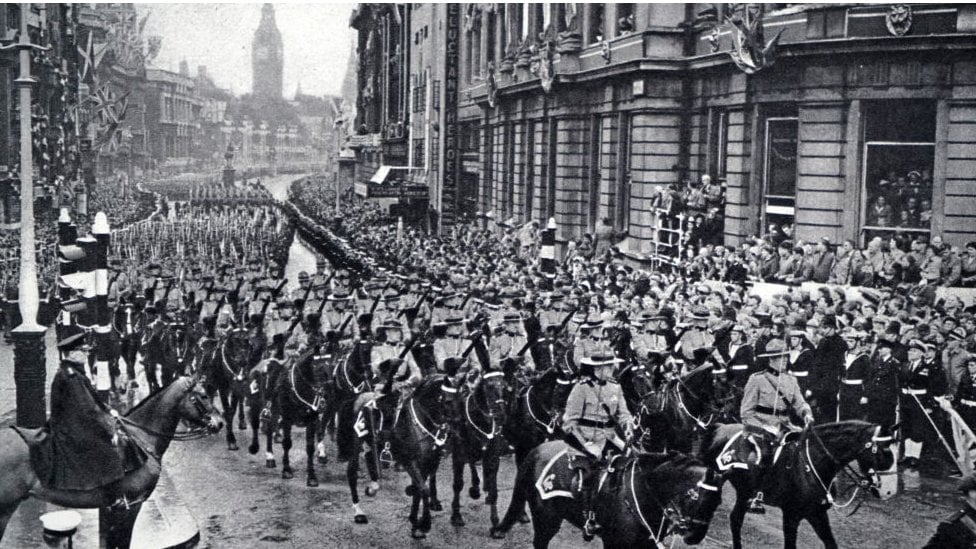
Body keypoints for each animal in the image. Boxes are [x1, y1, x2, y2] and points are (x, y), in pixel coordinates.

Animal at [492, 440, 720, 548]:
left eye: (717, 503)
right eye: (694, 496)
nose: (695, 537)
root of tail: (537, 450)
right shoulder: (614, 543)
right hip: (547, 520)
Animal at [696, 420, 896, 548]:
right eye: (885, 452)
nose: (889, 492)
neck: (812, 463)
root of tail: (721, 427)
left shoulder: (817, 514)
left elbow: (831, 543)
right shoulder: (791, 516)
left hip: (744, 492)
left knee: (735, 519)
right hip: (716, 478)